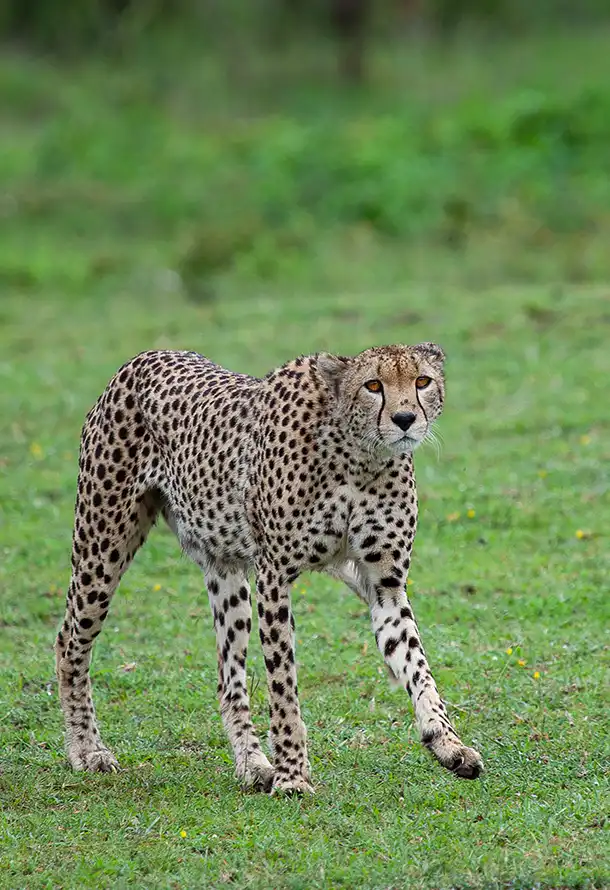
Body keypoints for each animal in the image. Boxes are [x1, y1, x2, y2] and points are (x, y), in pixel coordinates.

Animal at [54, 343, 484, 793]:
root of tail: (146, 355)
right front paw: (292, 776)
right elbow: (284, 686)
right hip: (102, 548)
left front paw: (448, 743)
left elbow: (417, 665)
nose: (404, 419)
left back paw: (253, 764)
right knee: (69, 640)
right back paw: (86, 749)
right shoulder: (274, 576)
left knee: (228, 678)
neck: (358, 455)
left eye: (422, 381)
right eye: (373, 386)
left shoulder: (385, 583)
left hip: (228, 578)